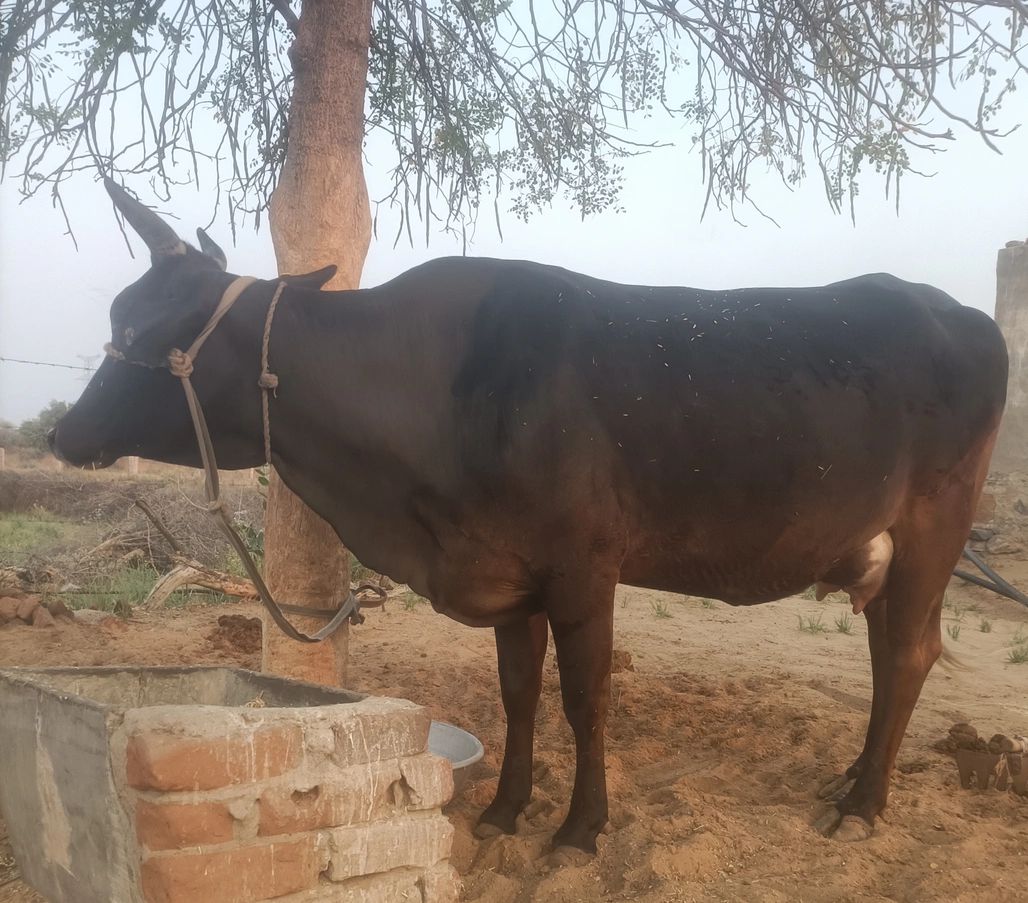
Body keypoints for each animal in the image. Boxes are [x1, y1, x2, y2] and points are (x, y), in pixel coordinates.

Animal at [51, 181, 1007, 854]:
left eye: (135, 325)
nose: (62, 431)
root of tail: (959, 312)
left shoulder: (586, 566)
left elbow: (585, 698)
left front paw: (581, 827)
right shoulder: (509, 579)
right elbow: (519, 695)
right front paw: (506, 810)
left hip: (935, 530)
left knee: (908, 654)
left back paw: (865, 803)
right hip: (884, 550)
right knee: (887, 657)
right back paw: (852, 778)